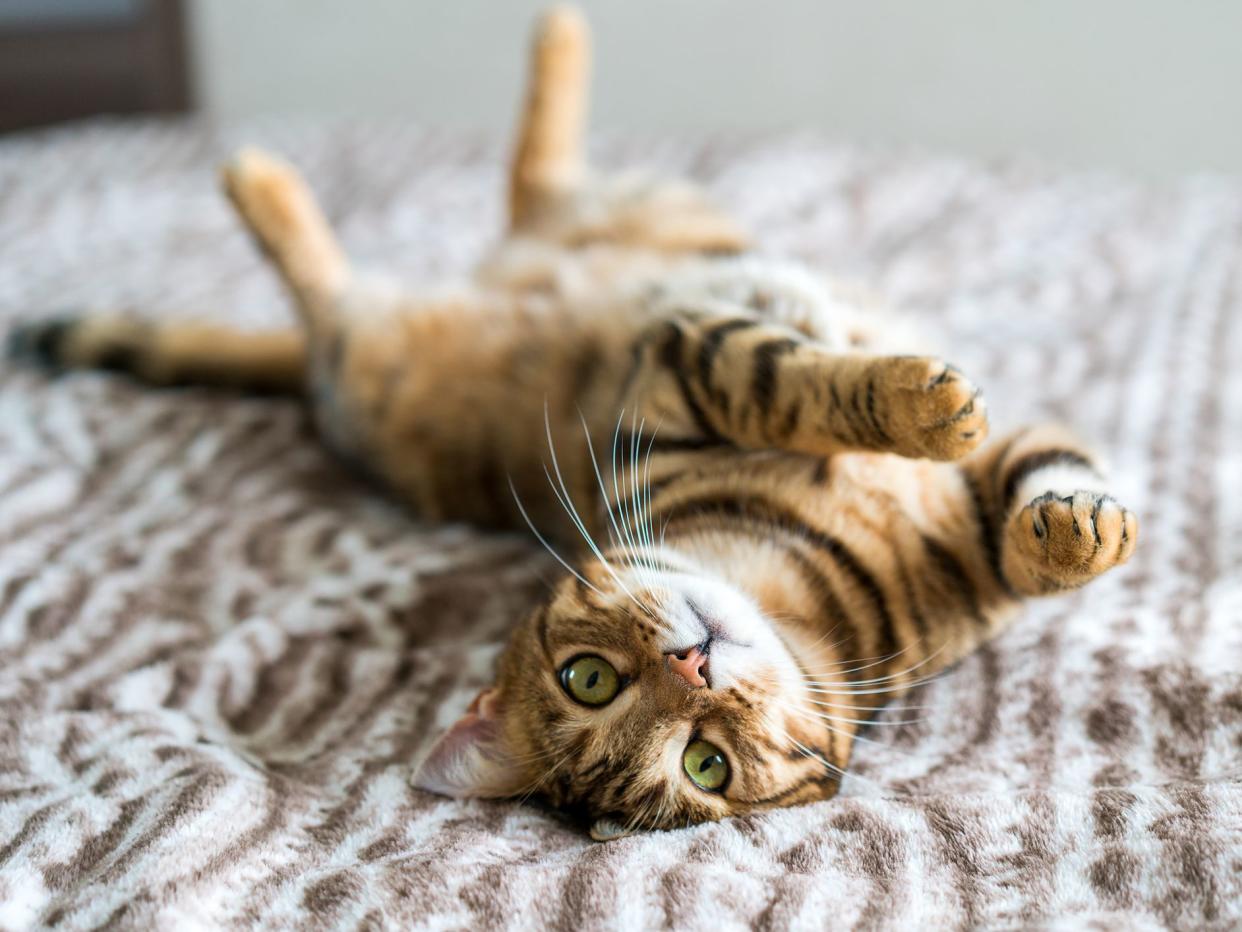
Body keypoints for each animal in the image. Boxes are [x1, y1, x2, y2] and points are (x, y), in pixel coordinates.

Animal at [9, 3, 1137, 845]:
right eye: (699, 761)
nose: (695, 670)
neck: (796, 586)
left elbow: (1034, 496)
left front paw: (1075, 523)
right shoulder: (682, 366)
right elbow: (789, 378)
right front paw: (925, 405)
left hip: (621, 222)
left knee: (532, 183)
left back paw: (551, 37)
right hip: (374, 371)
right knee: (336, 295)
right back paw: (259, 176)